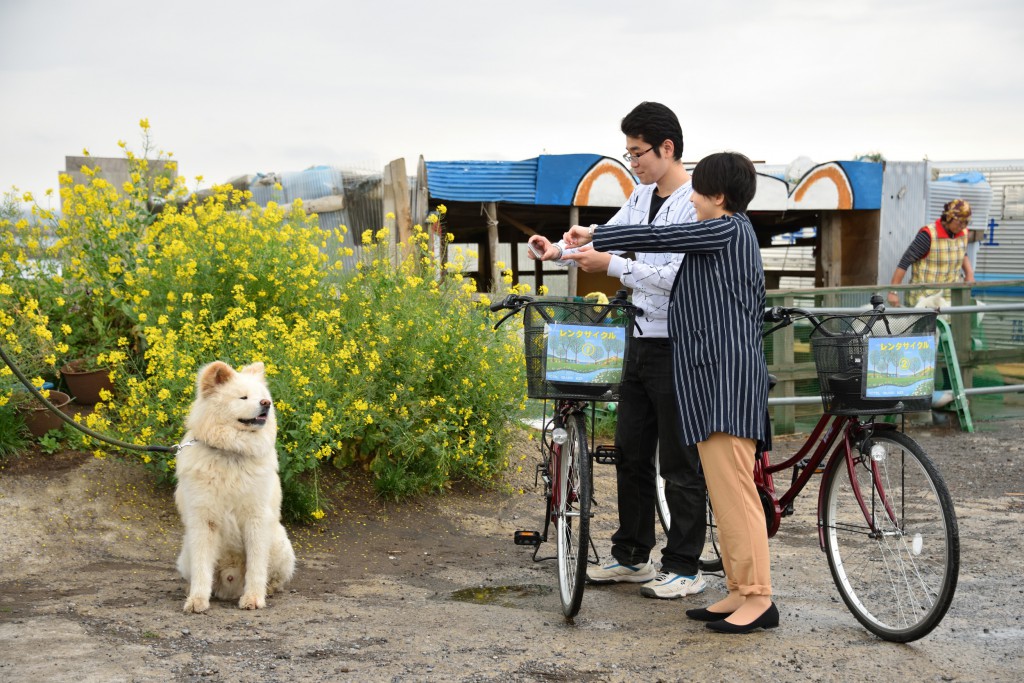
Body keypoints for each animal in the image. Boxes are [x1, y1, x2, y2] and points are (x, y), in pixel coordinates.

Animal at [174, 362, 294, 614]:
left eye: (263, 397)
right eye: (243, 397)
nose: (266, 404)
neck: (232, 452)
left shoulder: (256, 519)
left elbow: (256, 567)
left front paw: (253, 598)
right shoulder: (203, 520)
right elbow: (202, 568)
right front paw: (197, 600)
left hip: (279, 543)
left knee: (274, 577)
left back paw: (267, 590)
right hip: (187, 549)